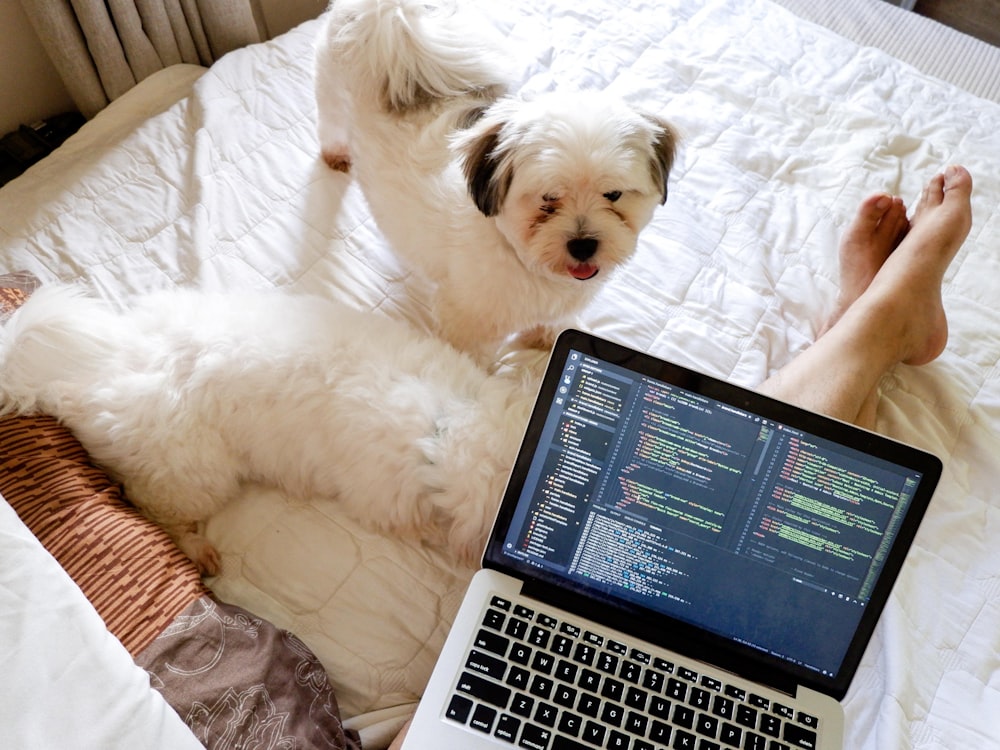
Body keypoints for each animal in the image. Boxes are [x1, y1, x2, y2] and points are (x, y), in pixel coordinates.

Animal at [0, 288, 540, 576]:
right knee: (149, 505)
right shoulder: (382, 497)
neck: (447, 421)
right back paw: (199, 551)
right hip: (195, 476)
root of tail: (96, 370)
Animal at [318, 0, 680, 364]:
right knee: (331, 124)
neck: (528, 260)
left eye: (614, 194)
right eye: (548, 199)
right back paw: (336, 155)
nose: (582, 244)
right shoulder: (466, 320)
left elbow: (556, 324)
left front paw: (548, 337)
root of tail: (383, 11)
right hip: (331, 92)